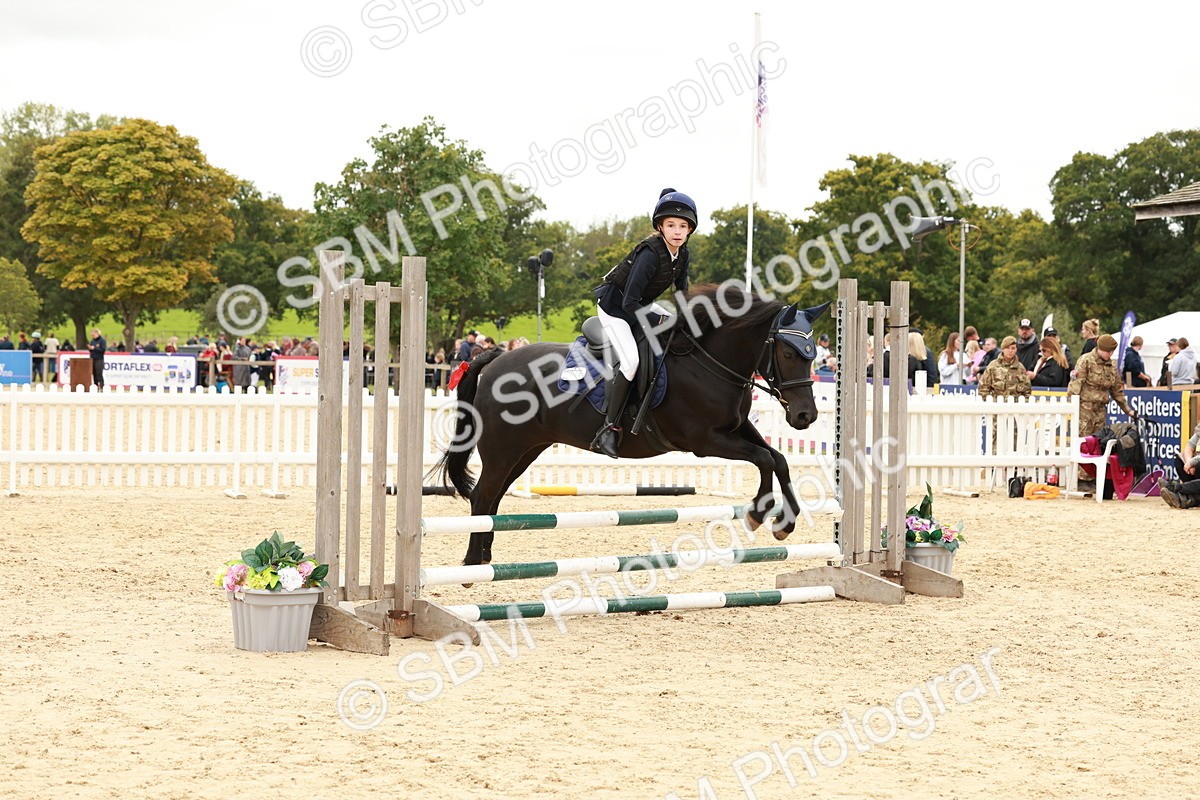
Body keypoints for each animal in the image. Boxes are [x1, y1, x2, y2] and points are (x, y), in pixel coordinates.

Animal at [434, 284, 830, 566]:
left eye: (813, 355)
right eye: (789, 353)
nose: (805, 416)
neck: (709, 361)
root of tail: (497, 358)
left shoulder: (737, 428)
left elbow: (778, 458)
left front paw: (786, 523)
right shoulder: (706, 440)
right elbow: (763, 459)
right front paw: (759, 513)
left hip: (526, 450)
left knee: (492, 499)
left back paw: (484, 557)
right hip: (503, 450)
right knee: (483, 496)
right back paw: (473, 563)